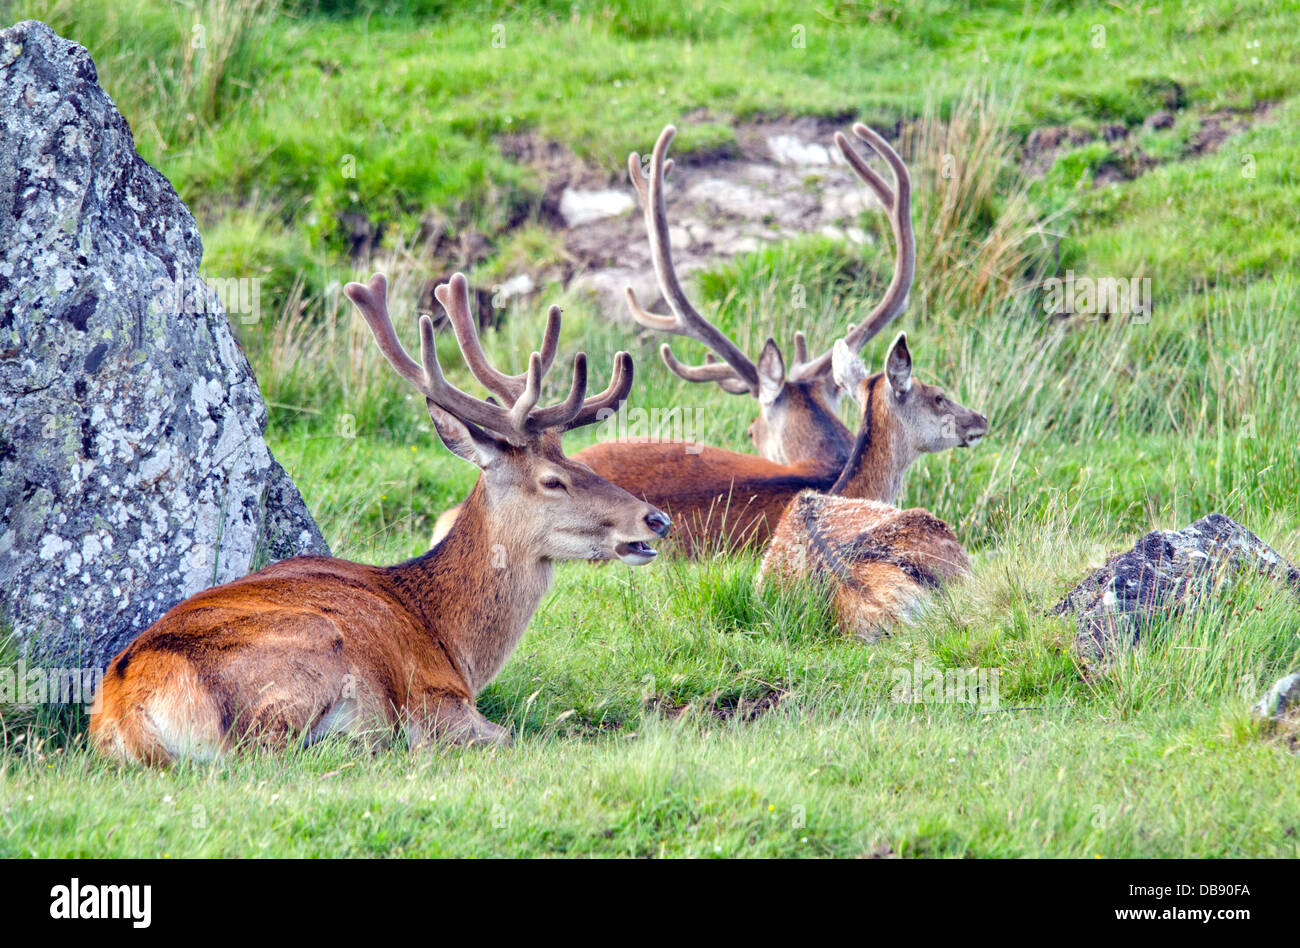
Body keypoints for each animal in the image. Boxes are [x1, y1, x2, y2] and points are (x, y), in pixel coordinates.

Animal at [89, 273, 670, 759]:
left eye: (578, 463)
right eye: (553, 480)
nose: (655, 519)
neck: (449, 638)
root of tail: (124, 711)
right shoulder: (433, 693)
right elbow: (503, 733)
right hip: (306, 654)